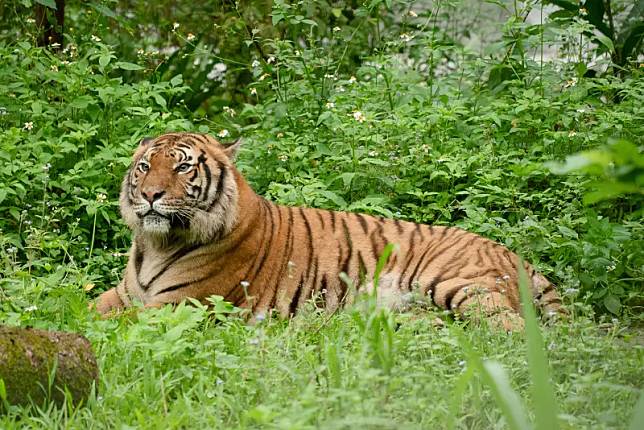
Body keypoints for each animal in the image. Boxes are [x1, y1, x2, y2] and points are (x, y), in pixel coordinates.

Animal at [95, 133, 564, 330]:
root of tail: (515, 254)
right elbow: (89, 307)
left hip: (461, 285)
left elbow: (112, 323)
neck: (156, 243)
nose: (151, 195)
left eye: (182, 167)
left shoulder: (180, 304)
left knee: (517, 334)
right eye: (144, 167)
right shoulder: (125, 294)